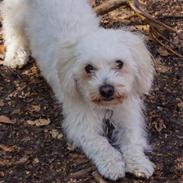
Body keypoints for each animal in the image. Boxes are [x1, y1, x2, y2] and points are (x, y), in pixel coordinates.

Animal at [2, 0, 155, 180]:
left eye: (119, 63)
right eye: (88, 68)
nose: (106, 90)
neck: (105, 109)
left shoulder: (128, 116)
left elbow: (132, 140)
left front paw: (139, 163)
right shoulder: (81, 124)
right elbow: (101, 144)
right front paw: (113, 165)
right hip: (15, 16)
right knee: (12, 33)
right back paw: (16, 56)